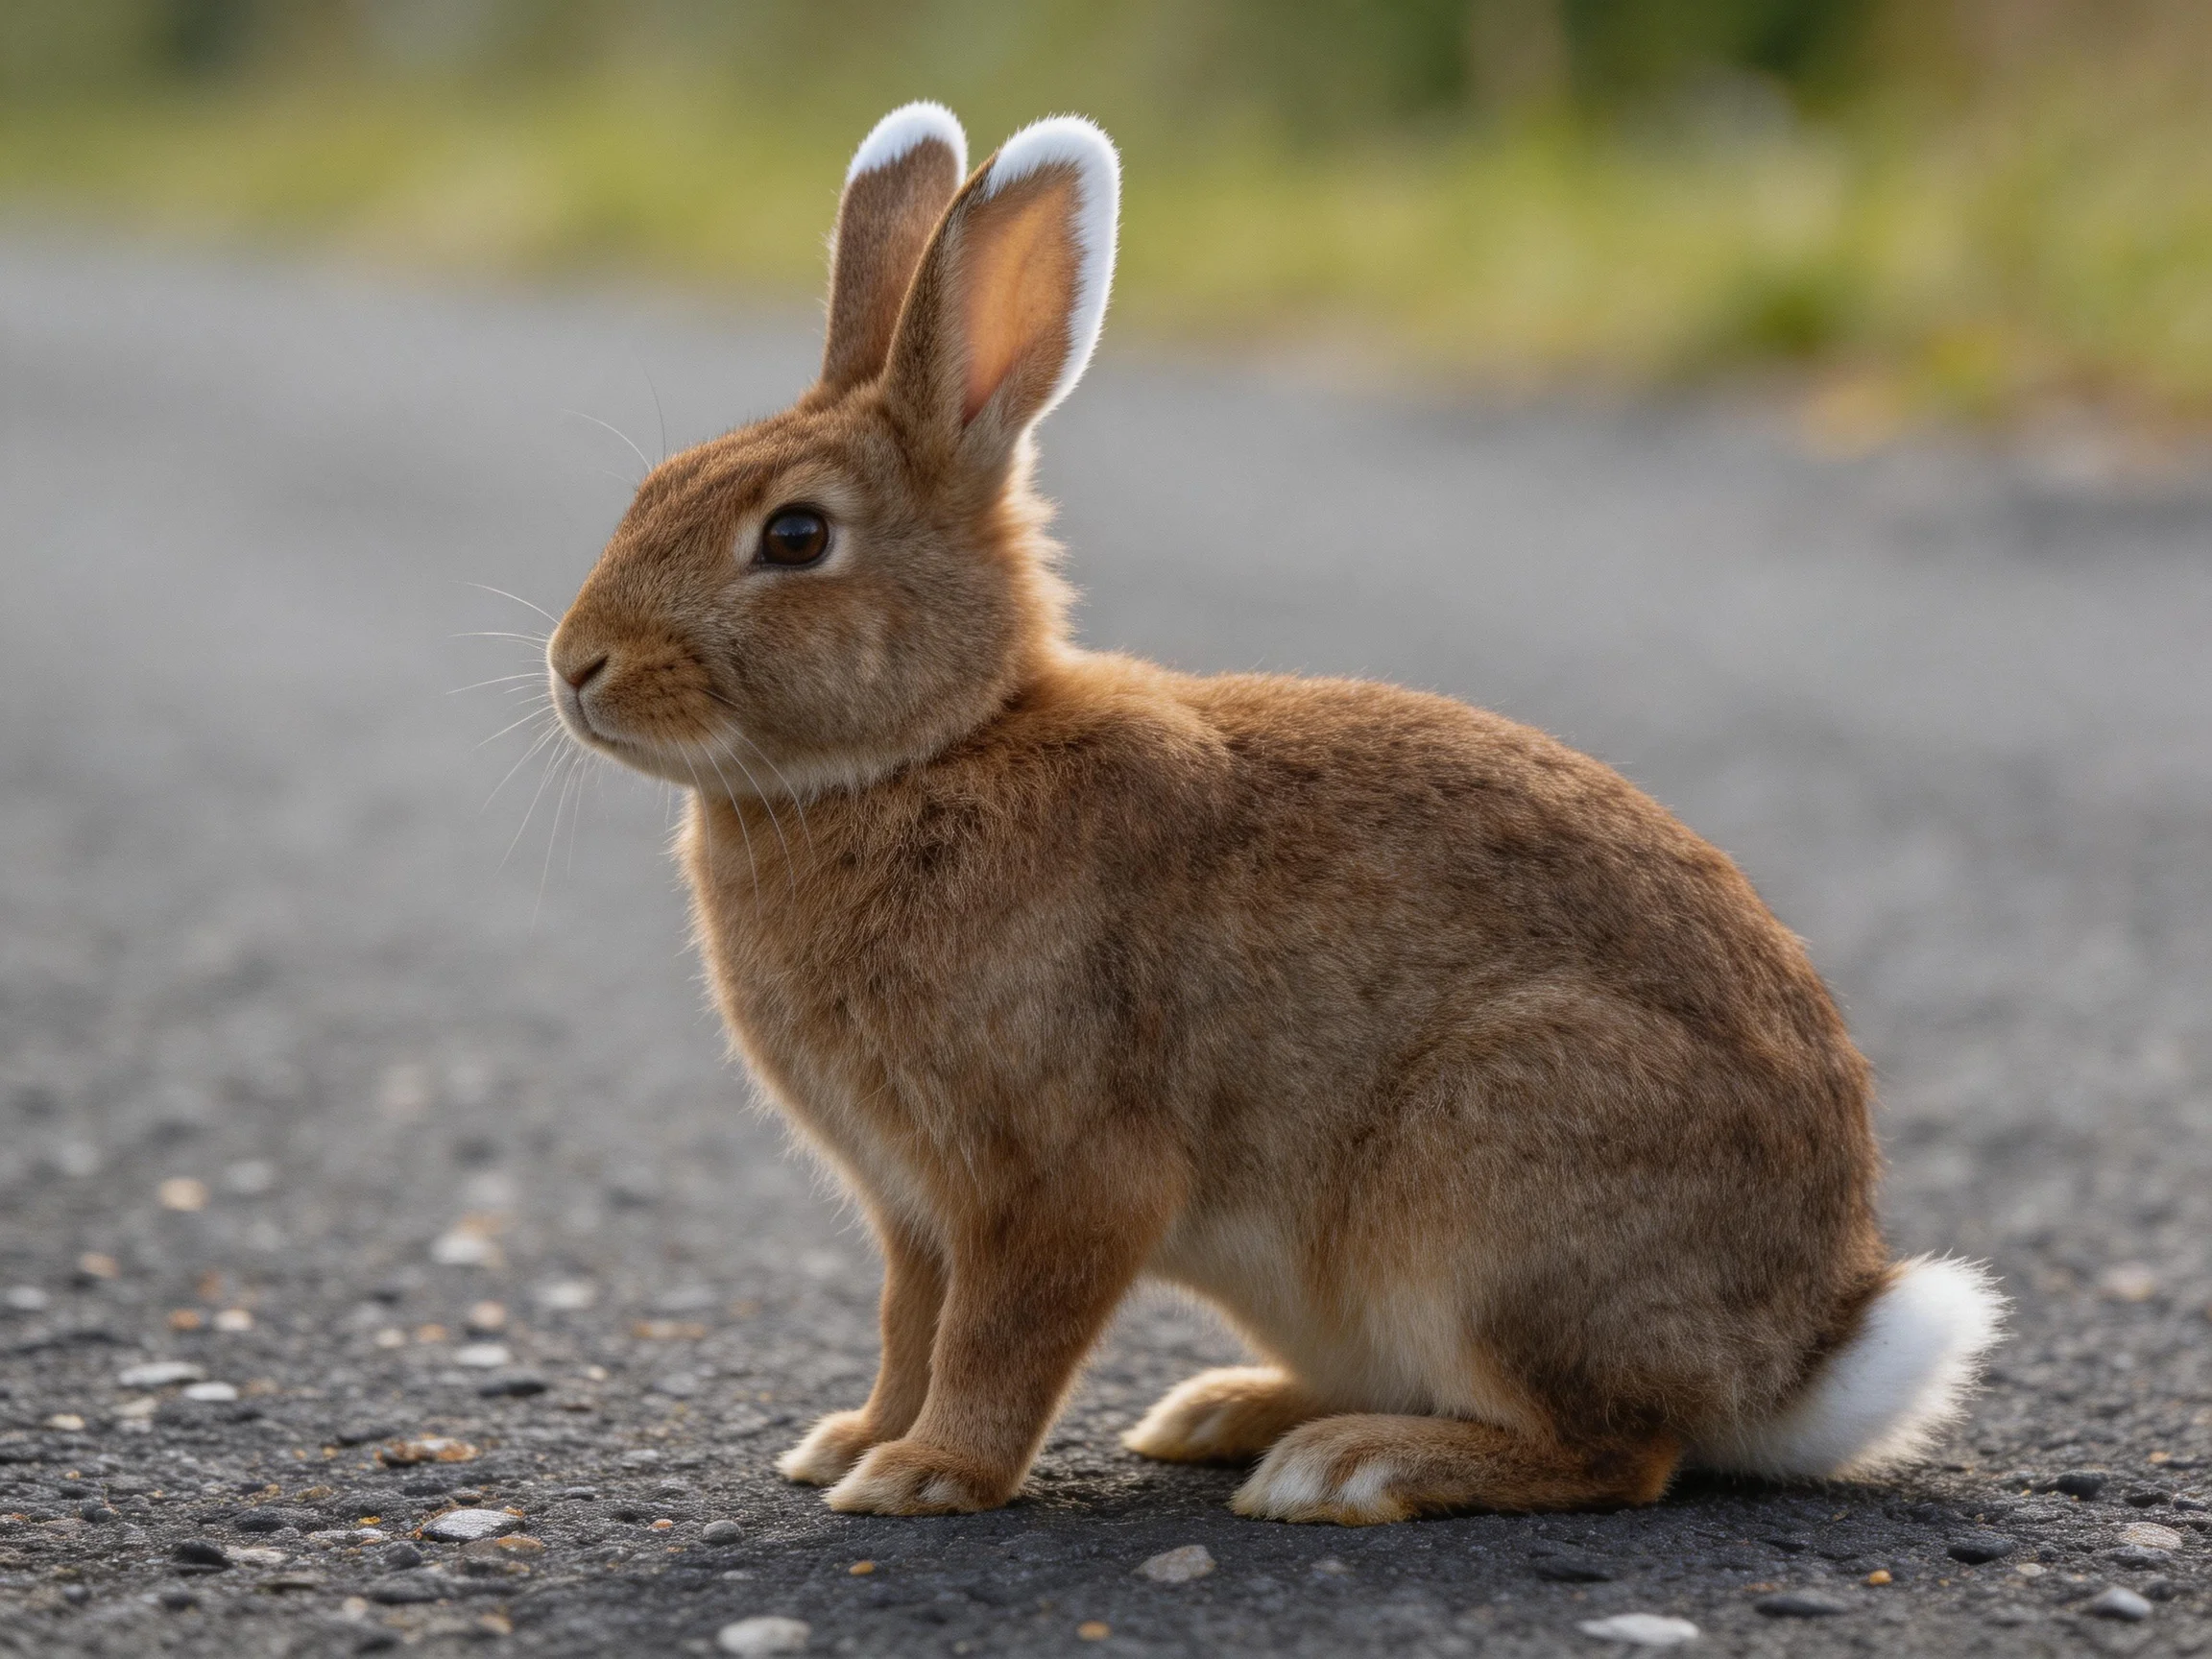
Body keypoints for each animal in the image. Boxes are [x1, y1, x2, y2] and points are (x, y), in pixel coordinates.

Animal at [544, 101, 2005, 1523]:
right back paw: (1227, 1414)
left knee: (1618, 1454)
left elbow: (999, 1337)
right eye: (653, 489)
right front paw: (848, 1442)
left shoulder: (1061, 1178)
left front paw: (925, 1476)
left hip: (1491, 1171)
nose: (576, 666)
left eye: (795, 538)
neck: (929, 754)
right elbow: (913, 1325)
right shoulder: (914, 1210)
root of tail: (1798, 1362)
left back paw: (1349, 1468)